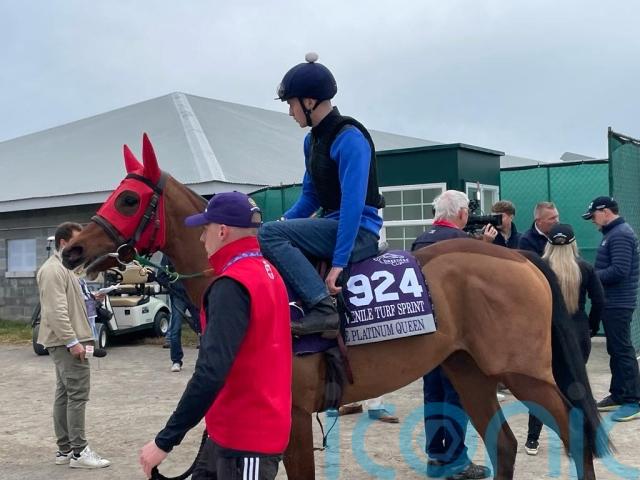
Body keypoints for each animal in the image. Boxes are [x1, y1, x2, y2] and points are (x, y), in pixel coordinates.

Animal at [62, 134, 610, 479]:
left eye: (128, 200)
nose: (71, 249)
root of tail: (515, 255)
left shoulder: (293, 414)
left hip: (522, 372)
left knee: (575, 430)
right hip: (469, 370)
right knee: (504, 445)